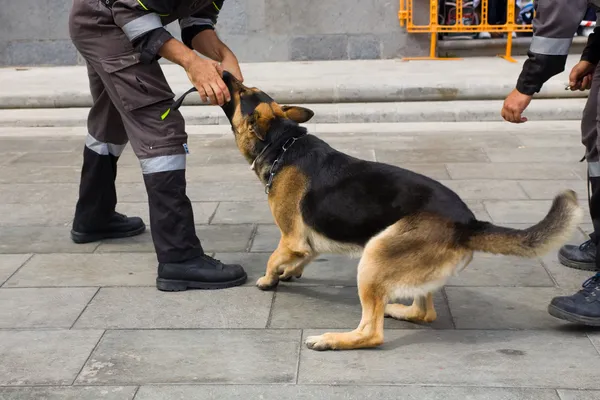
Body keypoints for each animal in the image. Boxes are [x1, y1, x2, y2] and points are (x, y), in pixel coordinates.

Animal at [218, 70, 584, 352]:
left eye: (242, 91)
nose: (223, 72)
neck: (283, 144)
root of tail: (468, 223)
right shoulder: (308, 239)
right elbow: (301, 256)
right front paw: (289, 272)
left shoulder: (291, 236)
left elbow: (273, 257)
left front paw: (268, 279)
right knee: (425, 313)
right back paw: (396, 309)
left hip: (374, 257)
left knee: (372, 332)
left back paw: (332, 339)